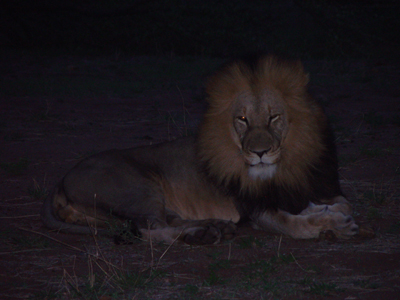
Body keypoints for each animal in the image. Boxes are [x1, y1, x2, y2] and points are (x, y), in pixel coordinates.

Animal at [41, 55, 360, 245]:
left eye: (273, 117)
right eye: (242, 119)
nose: (259, 153)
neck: (286, 163)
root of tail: (60, 181)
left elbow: (336, 202)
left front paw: (327, 210)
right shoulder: (256, 211)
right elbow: (293, 225)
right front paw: (332, 223)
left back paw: (215, 226)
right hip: (138, 188)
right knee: (150, 230)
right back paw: (201, 233)